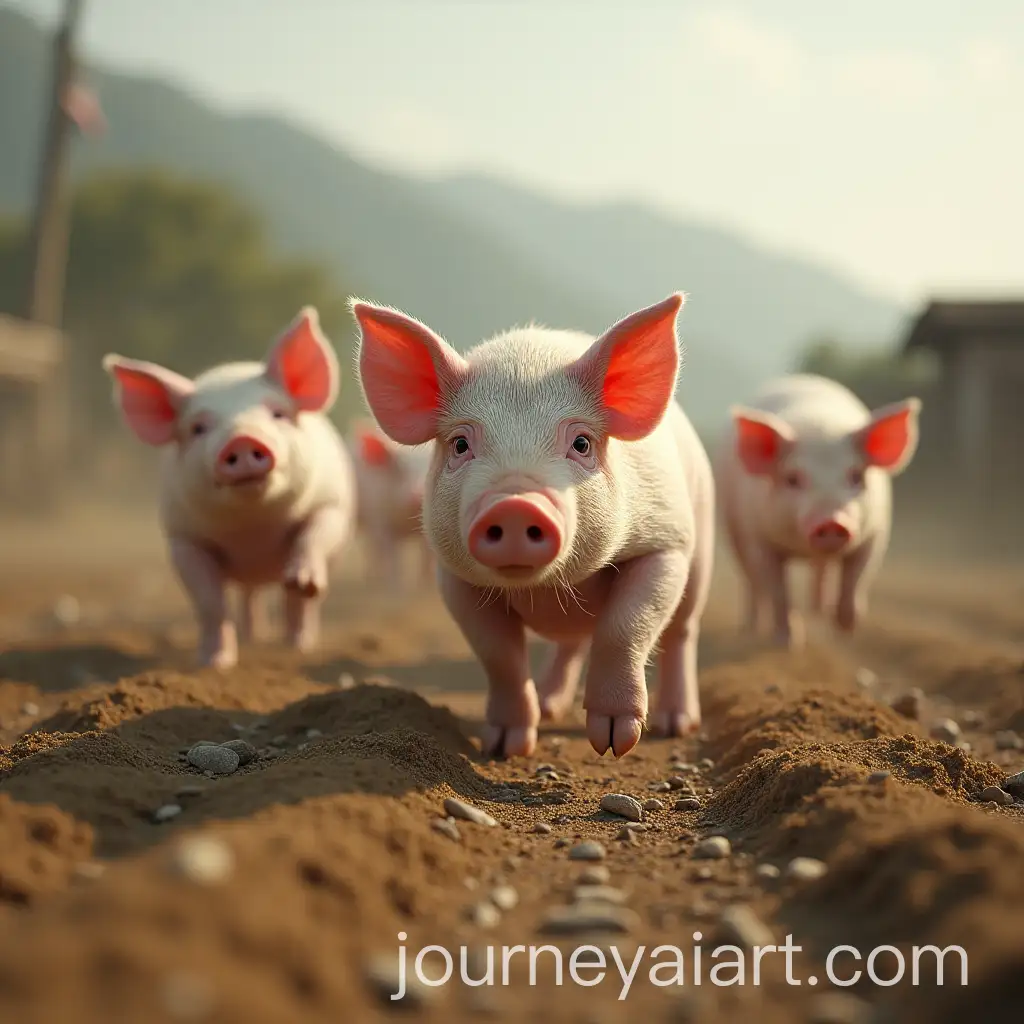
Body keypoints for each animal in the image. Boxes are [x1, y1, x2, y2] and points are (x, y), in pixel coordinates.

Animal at [102, 307, 356, 668]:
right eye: (198, 428)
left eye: (278, 413)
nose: (242, 438)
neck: (253, 531)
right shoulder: (183, 537)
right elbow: (210, 604)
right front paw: (215, 663)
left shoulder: (332, 504)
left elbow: (314, 536)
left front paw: (302, 582)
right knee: (249, 595)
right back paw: (254, 637)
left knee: (300, 605)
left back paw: (296, 644)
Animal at [347, 419, 435, 589]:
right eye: (400, 467)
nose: (416, 494)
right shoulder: (381, 521)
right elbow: (393, 557)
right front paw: (395, 588)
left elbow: (426, 557)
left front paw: (424, 586)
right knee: (372, 548)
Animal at [716, 373, 921, 648]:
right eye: (792, 479)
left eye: (856, 476)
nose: (832, 521)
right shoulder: (758, 537)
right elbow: (778, 590)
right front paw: (787, 643)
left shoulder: (877, 532)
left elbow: (857, 577)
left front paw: (846, 627)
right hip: (732, 531)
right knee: (751, 581)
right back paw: (750, 629)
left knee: (821, 570)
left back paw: (818, 612)